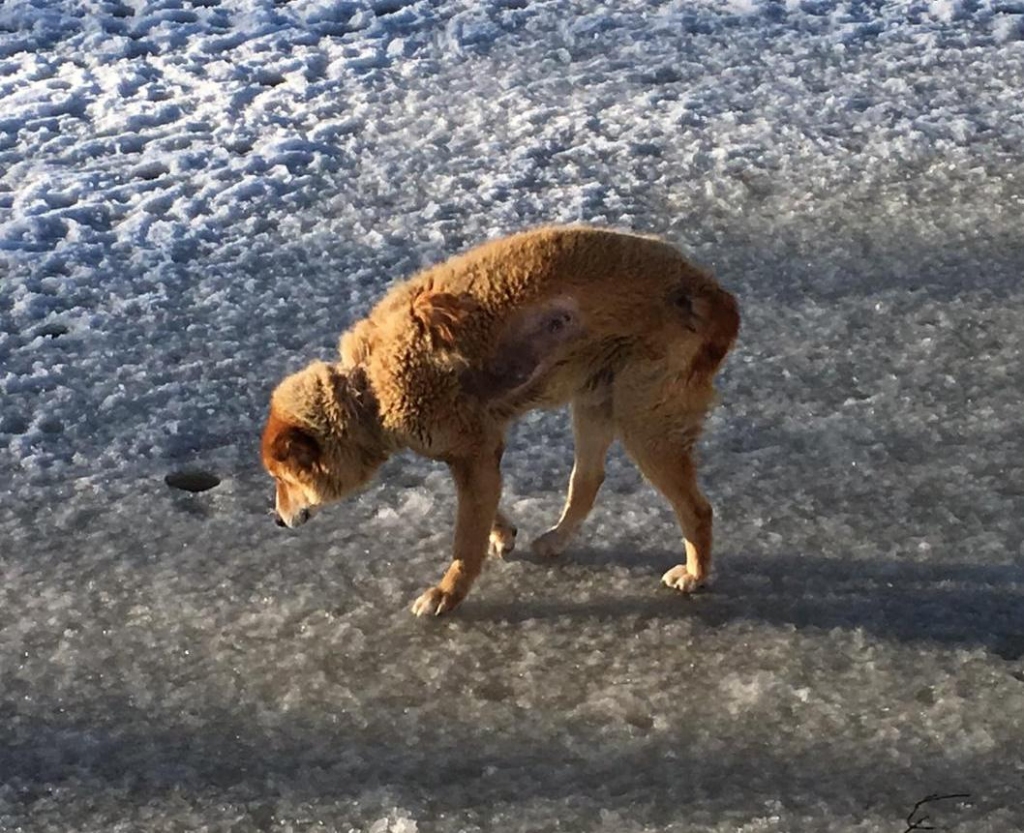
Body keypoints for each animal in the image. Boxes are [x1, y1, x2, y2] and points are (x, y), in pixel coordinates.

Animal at [260, 224, 741, 614]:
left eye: (283, 479)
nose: (277, 521)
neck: (371, 388)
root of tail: (711, 291)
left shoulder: (473, 451)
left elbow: (465, 543)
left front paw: (447, 594)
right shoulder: (475, 452)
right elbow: (485, 512)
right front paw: (504, 533)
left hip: (644, 422)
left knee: (697, 510)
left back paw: (695, 575)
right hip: (595, 401)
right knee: (587, 482)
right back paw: (556, 539)